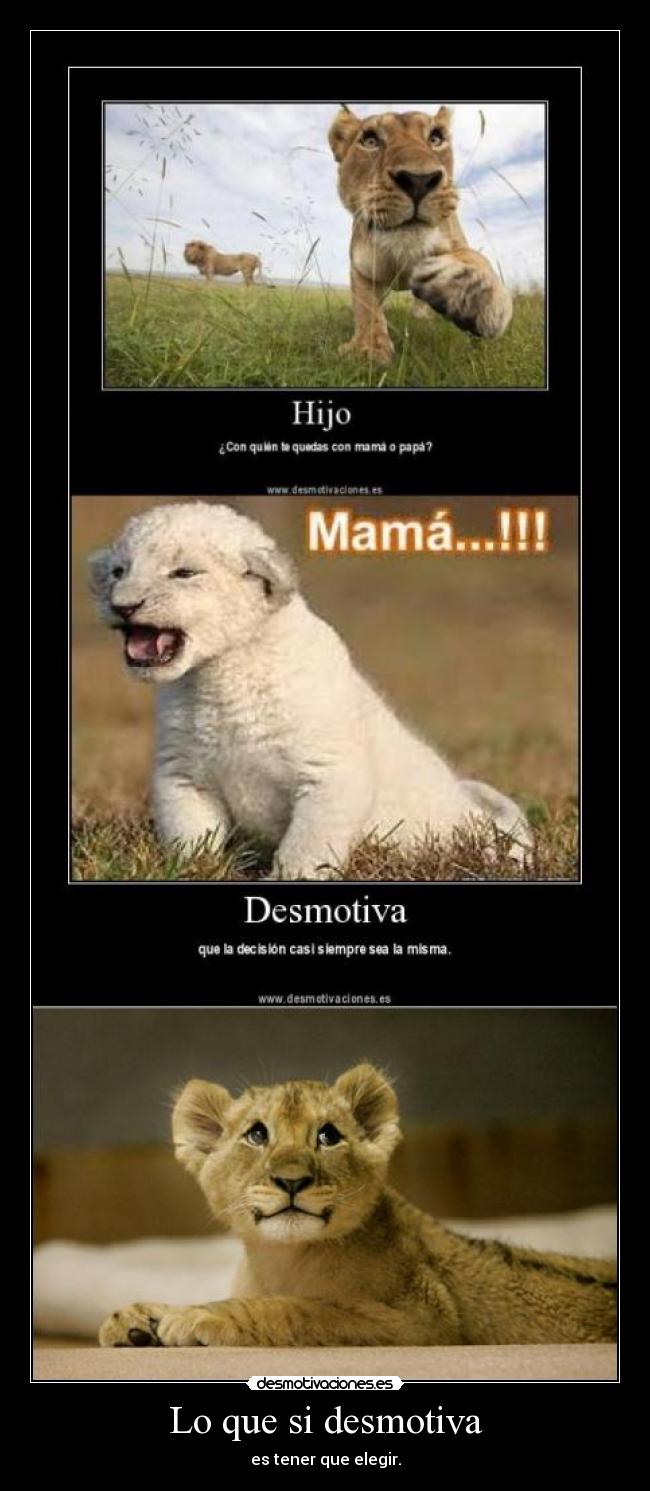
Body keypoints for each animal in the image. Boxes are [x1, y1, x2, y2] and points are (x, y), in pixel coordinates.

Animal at [99, 1064, 617, 1348]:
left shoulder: (419, 1320)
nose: (292, 1180)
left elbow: (296, 1311)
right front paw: (136, 1320)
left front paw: (194, 1317)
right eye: (257, 1134)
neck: (280, 1258)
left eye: (328, 1136)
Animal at [329, 106, 513, 365]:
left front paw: (471, 292)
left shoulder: (455, 242)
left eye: (435, 138)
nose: (419, 180)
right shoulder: (362, 268)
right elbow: (366, 307)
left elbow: (475, 258)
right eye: (370, 140)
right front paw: (369, 349)